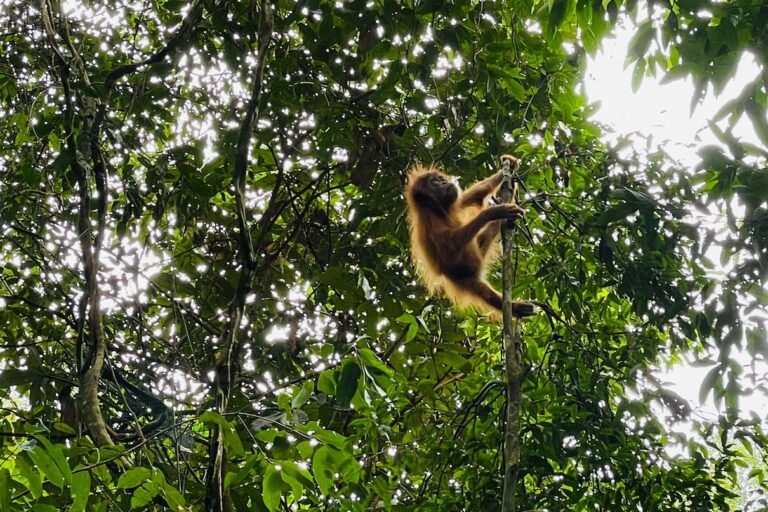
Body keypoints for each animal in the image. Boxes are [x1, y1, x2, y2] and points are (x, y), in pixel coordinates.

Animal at [405, 155, 535, 318]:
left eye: (440, 179)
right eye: (435, 182)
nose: (444, 182)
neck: (437, 210)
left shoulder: (454, 203)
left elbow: (473, 195)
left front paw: (507, 165)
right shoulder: (428, 222)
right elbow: (449, 248)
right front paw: (492, 212)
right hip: (465, 279)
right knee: (485, 293)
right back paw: (515, 308)